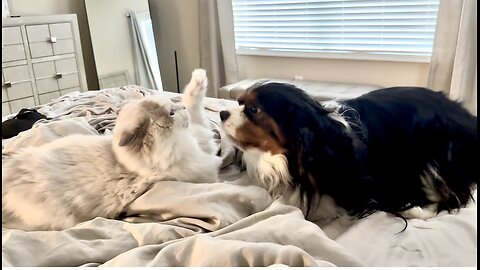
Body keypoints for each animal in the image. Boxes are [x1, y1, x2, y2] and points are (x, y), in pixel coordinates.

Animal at [0, 68, 219, 230]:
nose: (182, 111)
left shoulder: (201, 139)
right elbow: (195, 110)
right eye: (171, 113)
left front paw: (199, 77)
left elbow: (195, 106)